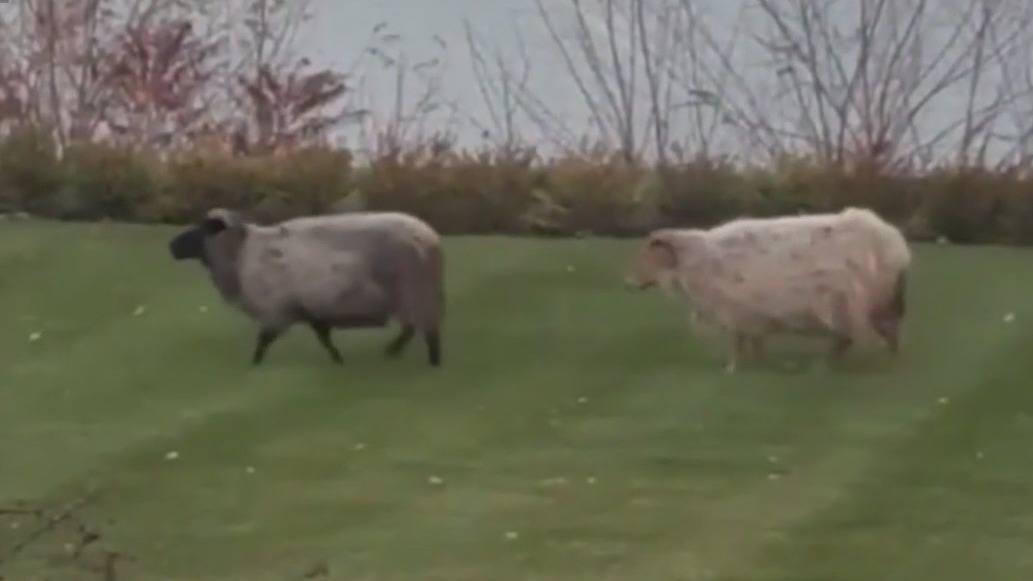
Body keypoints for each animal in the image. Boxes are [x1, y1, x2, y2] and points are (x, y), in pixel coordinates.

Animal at [168, 207, 445, 367]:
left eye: (201, 229)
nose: (171, 246)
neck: (241, 252)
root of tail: (430, 237)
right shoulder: (309, 309)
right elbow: (323, 337)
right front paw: (338, 360)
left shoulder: (277, 310)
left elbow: (263, 340)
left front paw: (254, 364)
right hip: (414, 296)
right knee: (413, 329)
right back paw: (395, 352)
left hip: (414, 292)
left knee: (425, 331)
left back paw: (431, 363)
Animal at [624, 224, 883, 372]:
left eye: (648, 254)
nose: (628, 283)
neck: (697, 262)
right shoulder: (750, 311)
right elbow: (751, 340)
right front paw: (758, 363)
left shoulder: (737, 309)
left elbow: (739, 340)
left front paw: (733, 368)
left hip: (845, 306)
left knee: (849, 338)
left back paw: (829, 366)